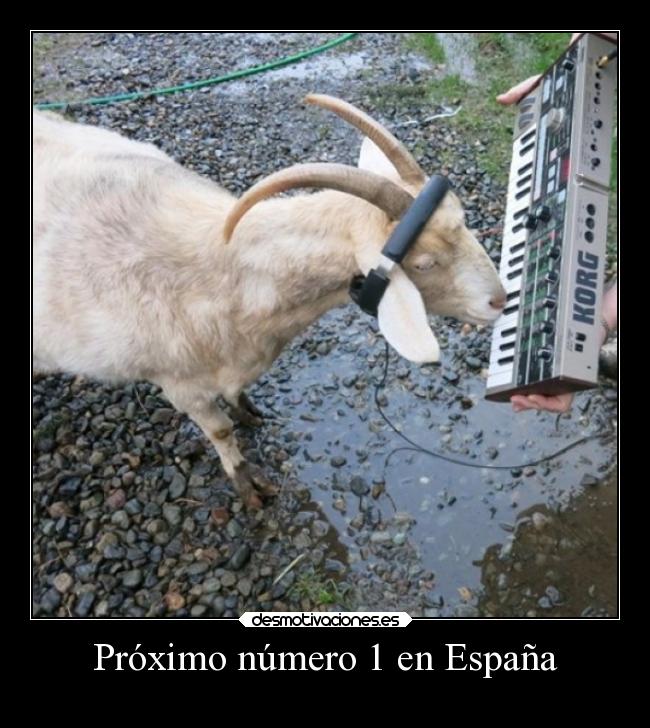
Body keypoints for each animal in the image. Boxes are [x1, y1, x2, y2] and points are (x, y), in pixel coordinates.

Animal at [33, 95, 506, 508]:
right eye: (424, 263)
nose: (499, 301)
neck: (226, 276)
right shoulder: (179, 384)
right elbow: (220, 432)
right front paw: (248, 483)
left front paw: (249, 411)